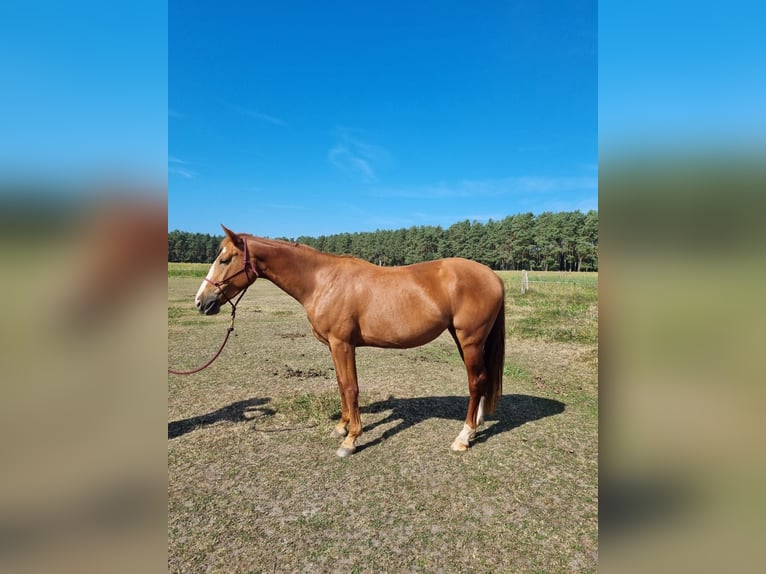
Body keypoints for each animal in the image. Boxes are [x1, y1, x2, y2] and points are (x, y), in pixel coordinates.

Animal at [195, 227, 508, 456]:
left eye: (225, 260)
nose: (201, 302)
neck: (322, 281)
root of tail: (492, 276)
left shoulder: (342, 344)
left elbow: (350, 387)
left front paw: (351, 439)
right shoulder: (335, 347)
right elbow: (341, 385)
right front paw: (342, 427)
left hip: (469, 340)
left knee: (475, 381)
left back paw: (463, 437)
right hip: (465, 339)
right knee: (482, 378)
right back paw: (477, 424)